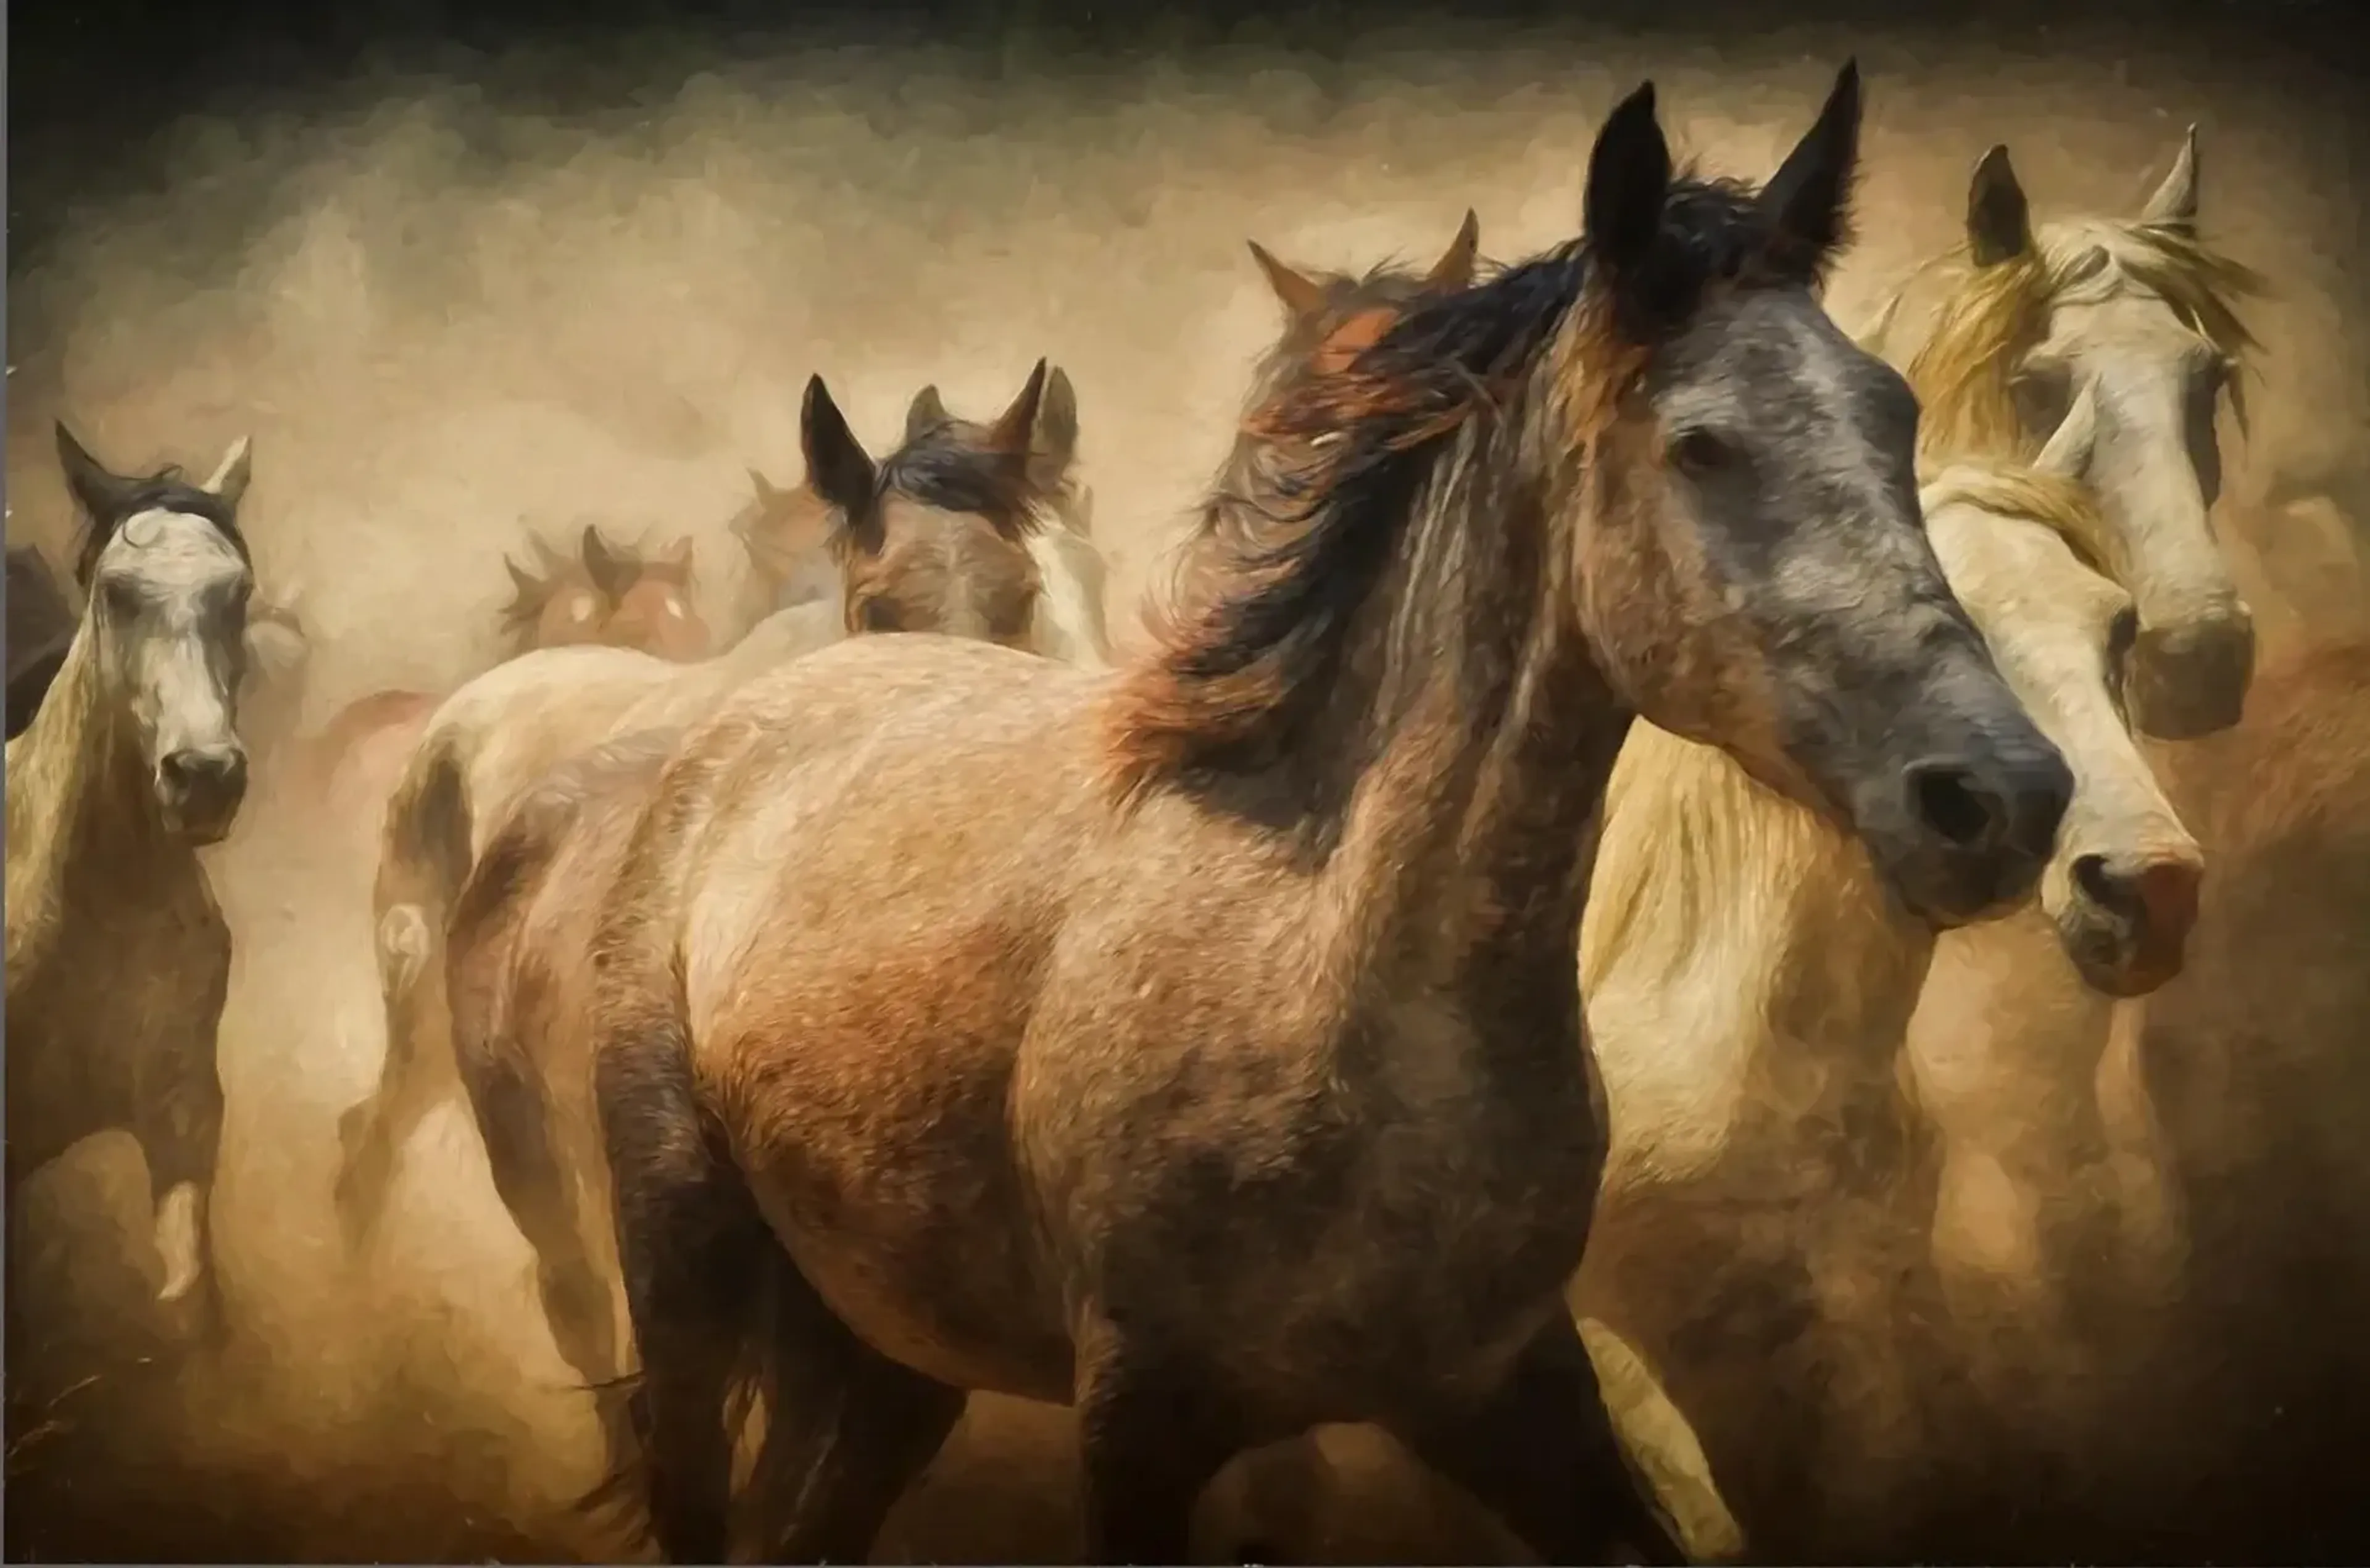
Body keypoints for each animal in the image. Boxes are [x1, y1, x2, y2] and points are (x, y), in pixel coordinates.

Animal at [578, 64, 2078, 1566]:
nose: (2000, 795)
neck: (1327, 967)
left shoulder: (1504, 1387)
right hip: (688, 1266)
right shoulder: (1141, 1424)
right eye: (1702, 444)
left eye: (1894, 413)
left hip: (890, 1348)